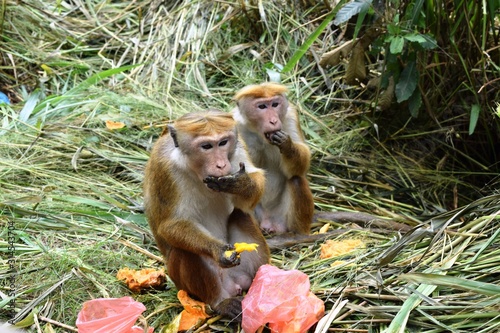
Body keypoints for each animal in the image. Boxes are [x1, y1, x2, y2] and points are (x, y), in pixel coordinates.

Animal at [144, 110, 270, 318]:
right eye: (206, 146)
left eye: (223, 142)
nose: (221, 165)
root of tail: (234, 284)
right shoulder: (165, 168)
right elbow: (171, 225)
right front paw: (218, 250)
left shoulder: (238, 148)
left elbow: (249, 195)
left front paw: (240, 184)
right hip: (185, 284)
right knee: (186, 249)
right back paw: (220, 302)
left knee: (240, 215)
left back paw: (264, 282)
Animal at [233, 82, 312, 235]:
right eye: (262, 106)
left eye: (275, 104)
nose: (274, 120)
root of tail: (269, 221)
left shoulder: (291, 116)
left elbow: (302, 163)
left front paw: (288, 146)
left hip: (282, 217)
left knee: (296, 179)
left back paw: (298, 234)